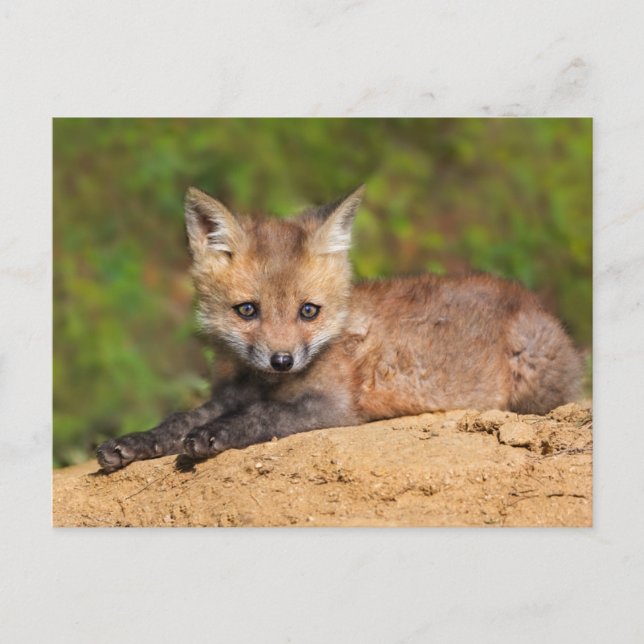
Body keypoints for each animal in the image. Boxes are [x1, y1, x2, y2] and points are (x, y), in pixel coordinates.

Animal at [96, 185, 582, 472]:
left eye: (308, 311)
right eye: (247, 310)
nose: (282, 360)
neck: (263, 382)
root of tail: (530, 299)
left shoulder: (333, 408)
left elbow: (262, 416)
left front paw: (213, 436)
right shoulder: (228, 394)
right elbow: (179, 418)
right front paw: (135, 442)